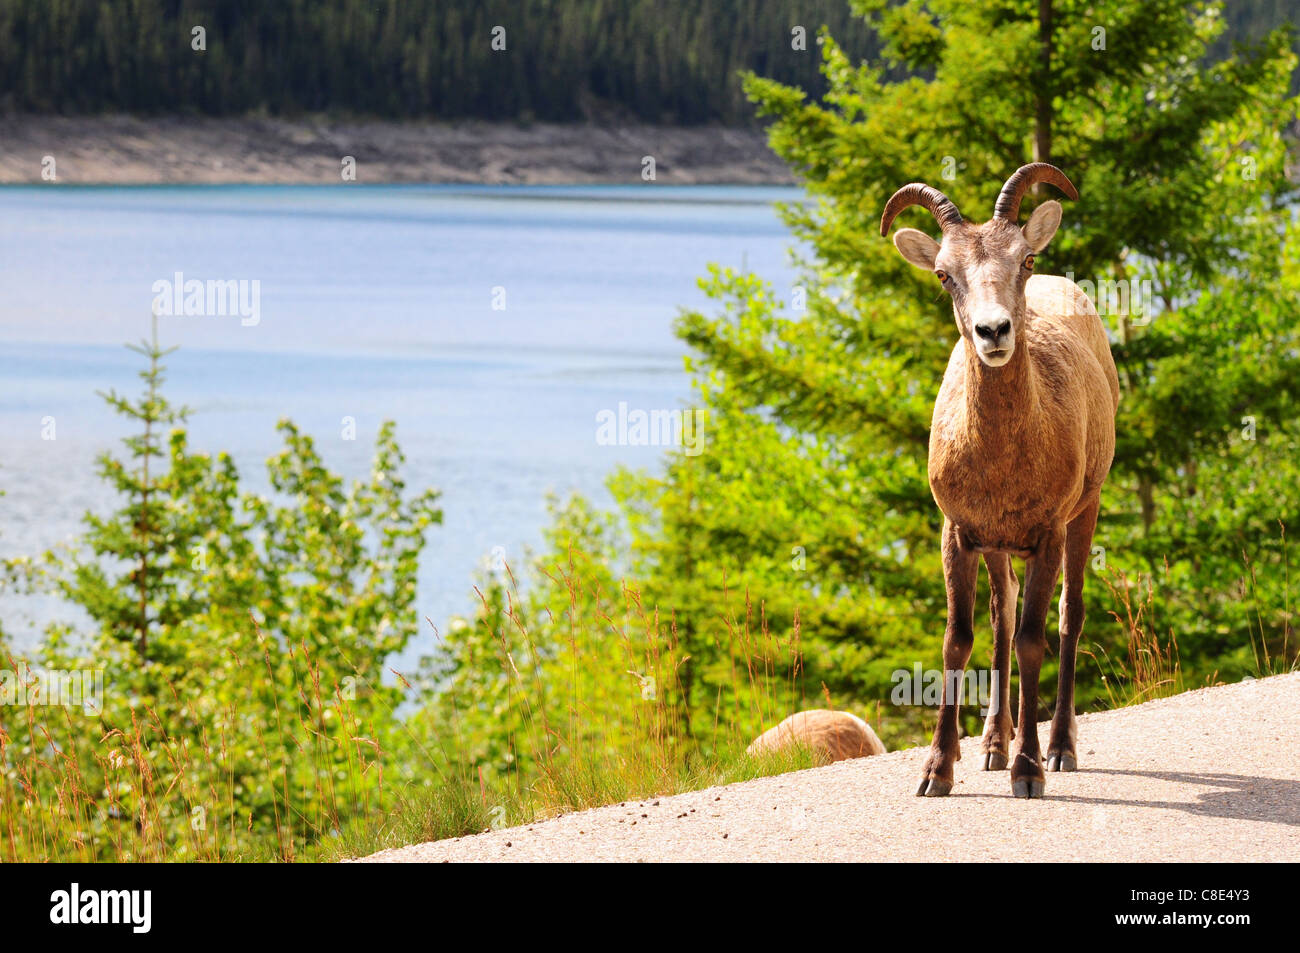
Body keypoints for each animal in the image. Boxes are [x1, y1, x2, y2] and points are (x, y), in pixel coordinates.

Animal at [878, 161, 1123, 795]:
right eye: (944, 275)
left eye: (1024, 259)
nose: (994, 332)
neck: (1004, 465)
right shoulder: (959, 532)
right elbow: (959, 639)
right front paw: (937, 772)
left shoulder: (1047, 533)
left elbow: (1036, 640)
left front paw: (1029, 771)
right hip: (995, 547)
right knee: (1001, 616)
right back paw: (991, 744)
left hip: (1086, 512)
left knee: (1068, 616)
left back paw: (1060, 748)